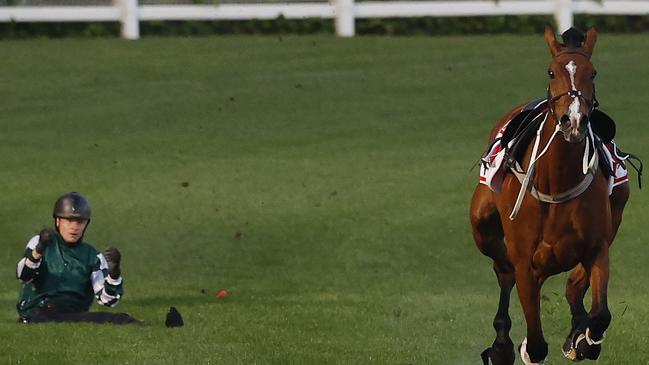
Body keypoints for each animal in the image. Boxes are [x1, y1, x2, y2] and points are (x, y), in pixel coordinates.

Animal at [470, 26, 636, 364]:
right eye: (551, 71)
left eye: (592, 72)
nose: (573, 121)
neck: (556, 183)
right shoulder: (525, 264)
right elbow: (535, 345)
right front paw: (509, 346)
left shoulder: (597, 247)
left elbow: (600, 314)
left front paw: (582, 339)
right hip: (481, 223)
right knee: (503, 271)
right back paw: (501, 343)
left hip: (616, 213)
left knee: (573, 286)